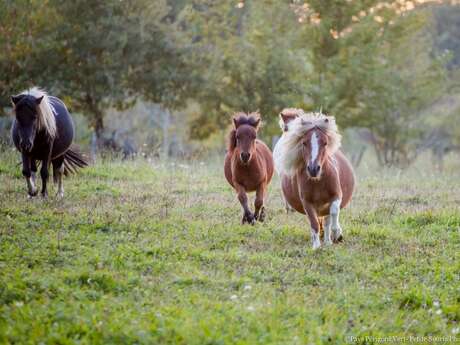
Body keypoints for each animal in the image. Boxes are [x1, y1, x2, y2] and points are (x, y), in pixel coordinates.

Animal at [274, 111, 354, 249]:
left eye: (325, 143)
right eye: (304, 143)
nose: (313, 169)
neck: (318, 182)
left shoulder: (336, 196)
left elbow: (334, 212)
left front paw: (337, 234)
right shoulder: (307, 203)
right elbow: (314, 223)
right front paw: (316, 247)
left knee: (327, 221)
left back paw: (328, 241)